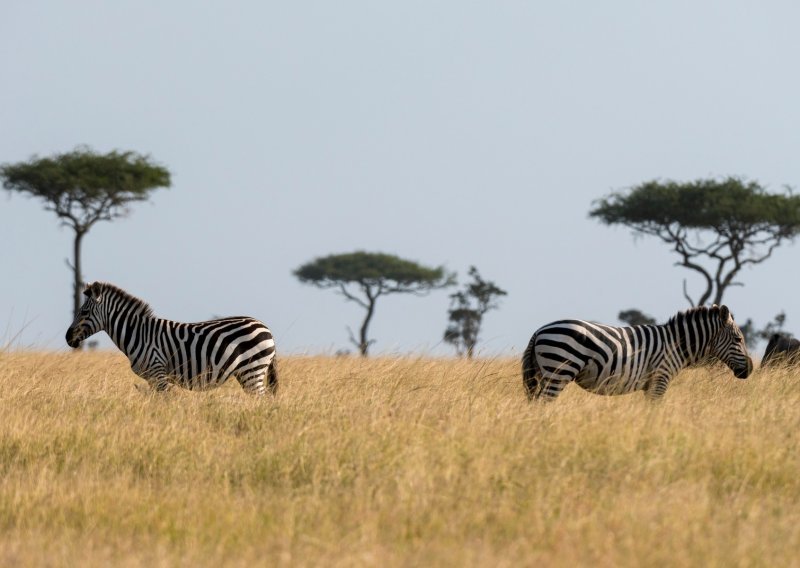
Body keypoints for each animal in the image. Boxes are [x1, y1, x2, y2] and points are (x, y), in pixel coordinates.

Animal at [65, 282, 280, 394]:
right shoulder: (151, 378)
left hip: (252, 370)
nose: (68, 338)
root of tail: (265, 328)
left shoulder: (158, 372)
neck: (137, 333)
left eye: (84, 312)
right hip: (248, 373)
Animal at [520, 304, 752, 402]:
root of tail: (539, 331)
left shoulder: (650, 385)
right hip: (559, 370)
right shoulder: (660, 379)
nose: (749, 369)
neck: (677, 344)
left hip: (544, 372)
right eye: (739, 340)